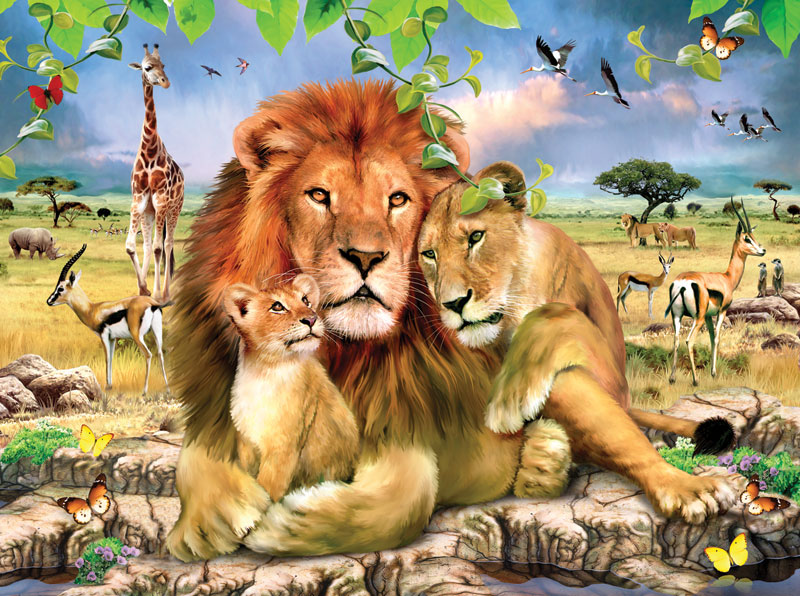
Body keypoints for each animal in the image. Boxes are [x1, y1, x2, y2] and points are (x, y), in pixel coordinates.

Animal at [166, 81, 736, 562]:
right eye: (319, 195)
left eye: (397, 199)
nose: (366, 257)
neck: (349, 350)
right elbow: (198, 457)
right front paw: (203, 520)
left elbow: (409, 496)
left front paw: (286, 525)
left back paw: (658, 480)